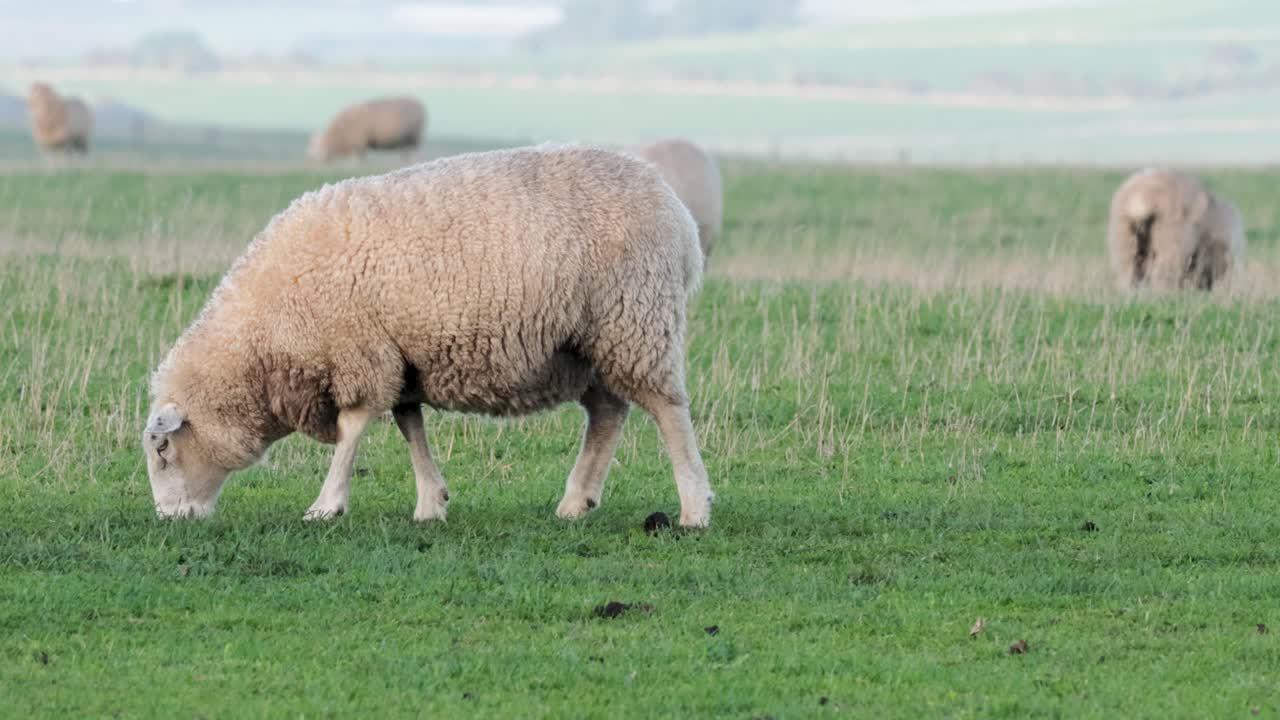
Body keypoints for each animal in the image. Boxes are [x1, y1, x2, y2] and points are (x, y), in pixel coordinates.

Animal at [142, 145, 714, 528]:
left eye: (163, 449)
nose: (169, 518)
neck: (262, 342)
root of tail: (678, 214)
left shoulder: (362, 354)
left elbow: (353, 428)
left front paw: (327, 505)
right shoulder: (401, 357)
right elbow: (409, 426)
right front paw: (430, 503)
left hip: (634, 318)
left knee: (667, 410)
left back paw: (694, 507)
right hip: (584, 343)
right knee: (608, 412)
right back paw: (577, 502)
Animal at [1107, 168, 1245, 291]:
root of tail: (1139, 203)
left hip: (1124, 236)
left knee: (1128, 267)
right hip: (1171, 235)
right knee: (1164, 270)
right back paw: (1164, 293)